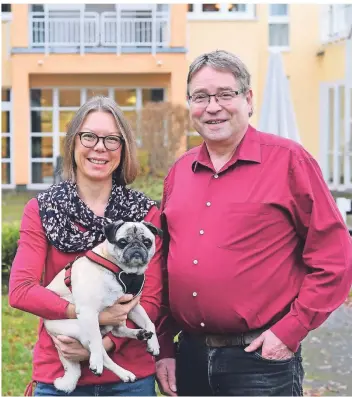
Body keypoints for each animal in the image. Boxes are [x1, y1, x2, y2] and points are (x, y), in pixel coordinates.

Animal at [43, 220, 162, 392]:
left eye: (147, 242)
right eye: (122, 242)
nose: (136, 246)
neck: (119, 271)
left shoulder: (132, 305)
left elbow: (150, 322)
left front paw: (154, 344)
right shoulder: (88, 312)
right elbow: (97, 343)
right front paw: (97, 363)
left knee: (118, 331)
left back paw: (141, 334)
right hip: (81, 330)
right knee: (101, 349)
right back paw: (122, 373)